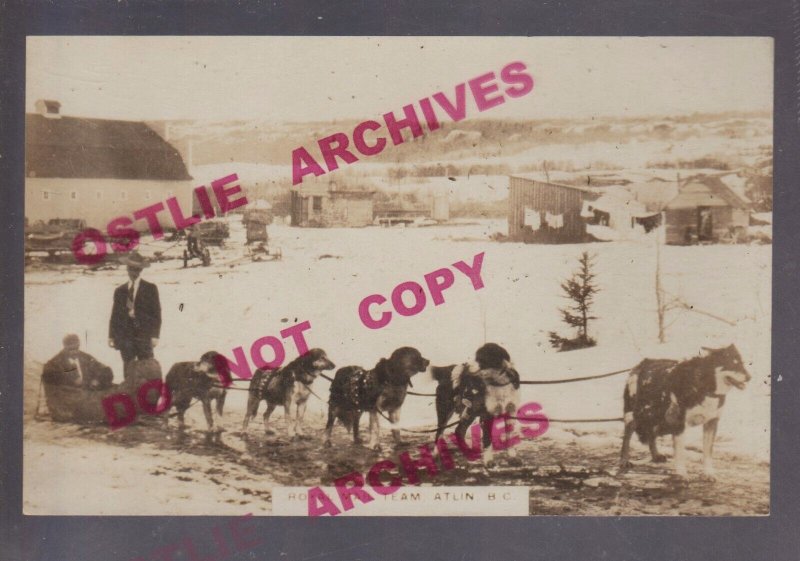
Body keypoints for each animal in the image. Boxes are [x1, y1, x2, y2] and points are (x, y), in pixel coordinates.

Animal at [620, 344, 752, 480]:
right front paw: (682, 473)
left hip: (657, 416)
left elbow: (707, 452)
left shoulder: (711, 422)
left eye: (741, 363)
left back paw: (656, 455)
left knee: (651, 434)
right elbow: (680, 452)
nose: (749, 377)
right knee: (627, 437)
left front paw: (708, 473)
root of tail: (642, 363)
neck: (704, 385)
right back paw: (624, 460)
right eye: (731, 363)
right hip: (634, 415)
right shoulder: (679, 423)